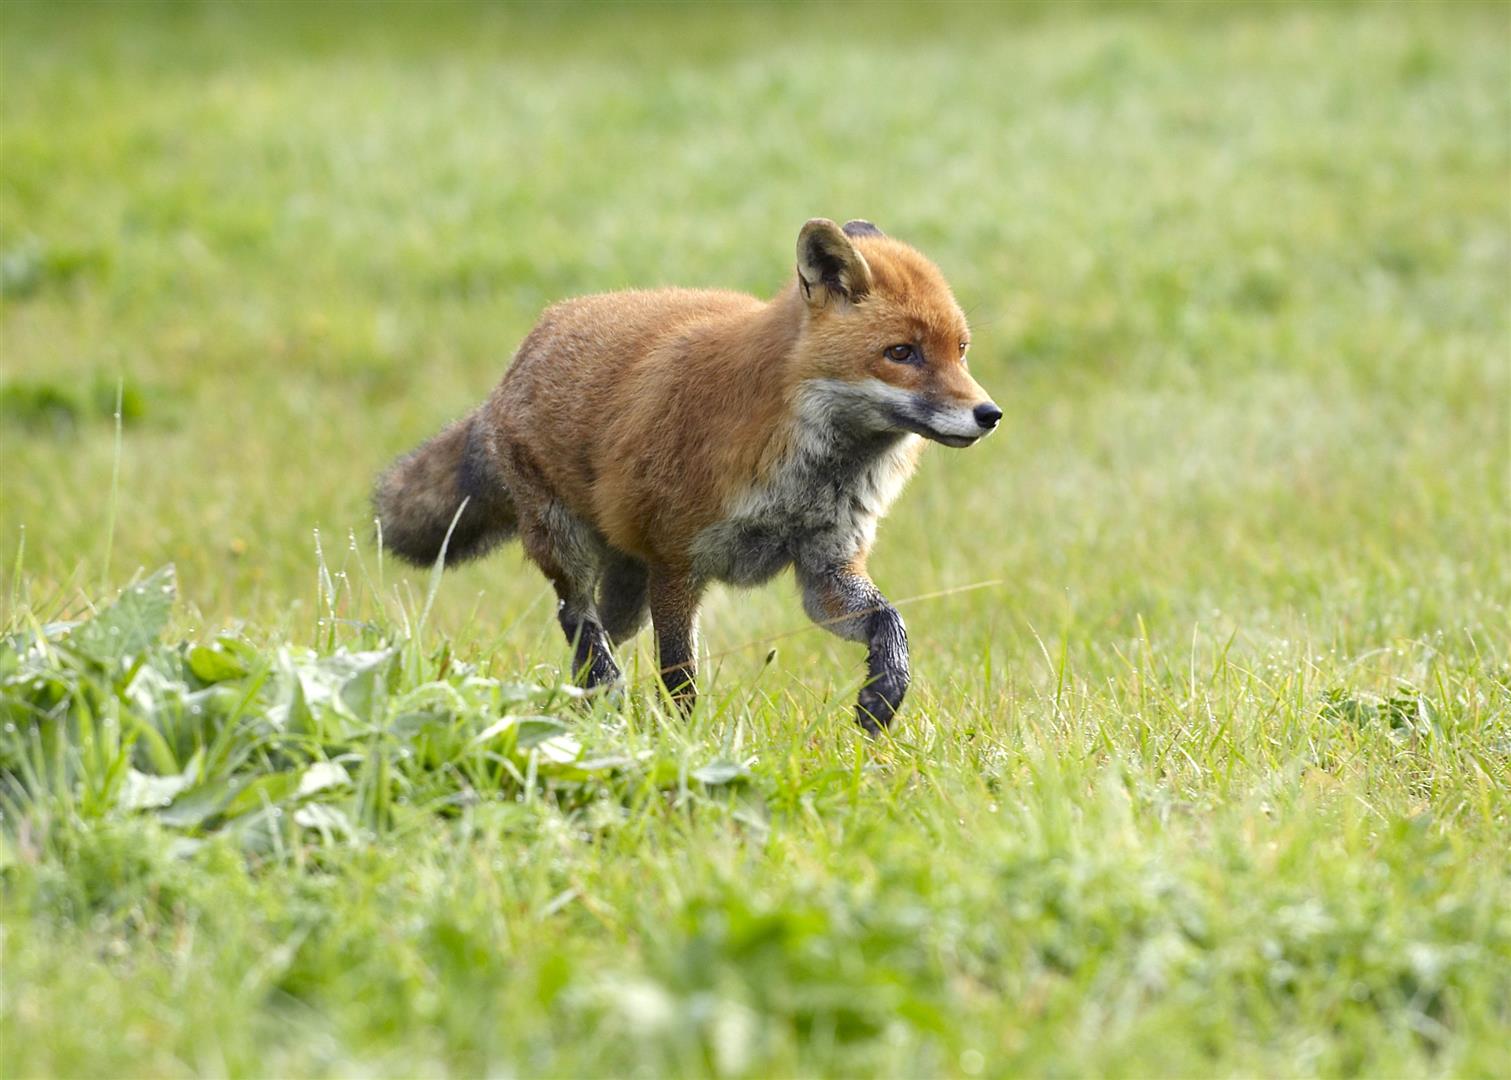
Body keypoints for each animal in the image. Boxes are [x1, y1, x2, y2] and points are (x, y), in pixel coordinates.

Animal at [374, 218, 999, 733]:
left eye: (961, 349)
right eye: (902, 353)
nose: (989, 414)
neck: (806, 477)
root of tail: (526, 349)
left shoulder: (826, 568)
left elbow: (891, 625)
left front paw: (883, 694)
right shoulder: (678, 563)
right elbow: (680, 676)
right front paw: (685, 745)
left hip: (628, 586)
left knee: (593, 633)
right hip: (573, 547)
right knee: (576, 617)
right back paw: (603, 698)